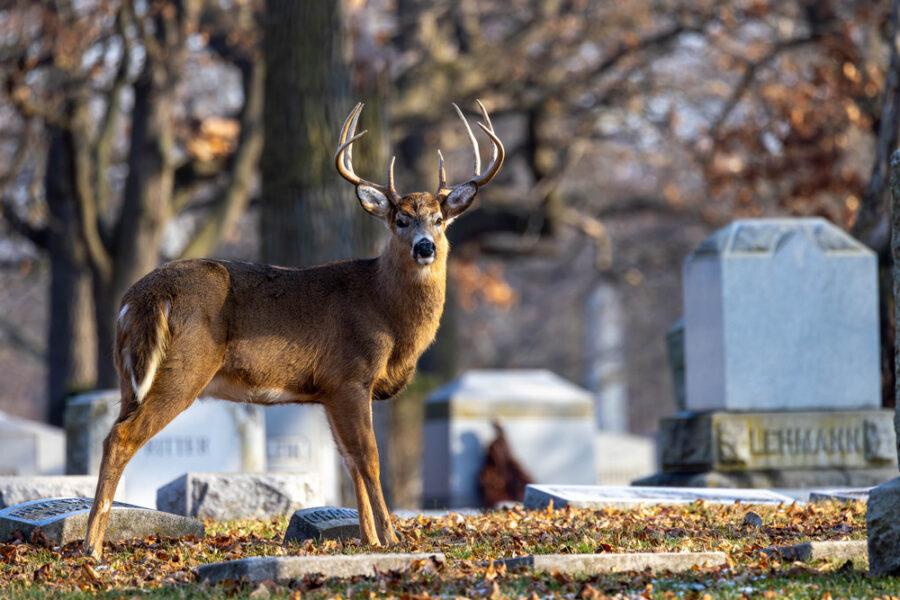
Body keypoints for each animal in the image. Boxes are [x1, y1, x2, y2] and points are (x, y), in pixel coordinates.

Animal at [82, 102, 506, 556]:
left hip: (130, 375)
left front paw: (369, 539)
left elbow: (349, 461)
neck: (385, 311)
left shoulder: (329, 391)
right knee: (122, 437)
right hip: (184, 368)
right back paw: (92, 547)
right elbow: (370, 458)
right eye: (401, 220)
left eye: (440, 219)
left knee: (111, 431)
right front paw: (393, 538)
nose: (425, 247)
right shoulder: (352, 375)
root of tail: (141, 297)